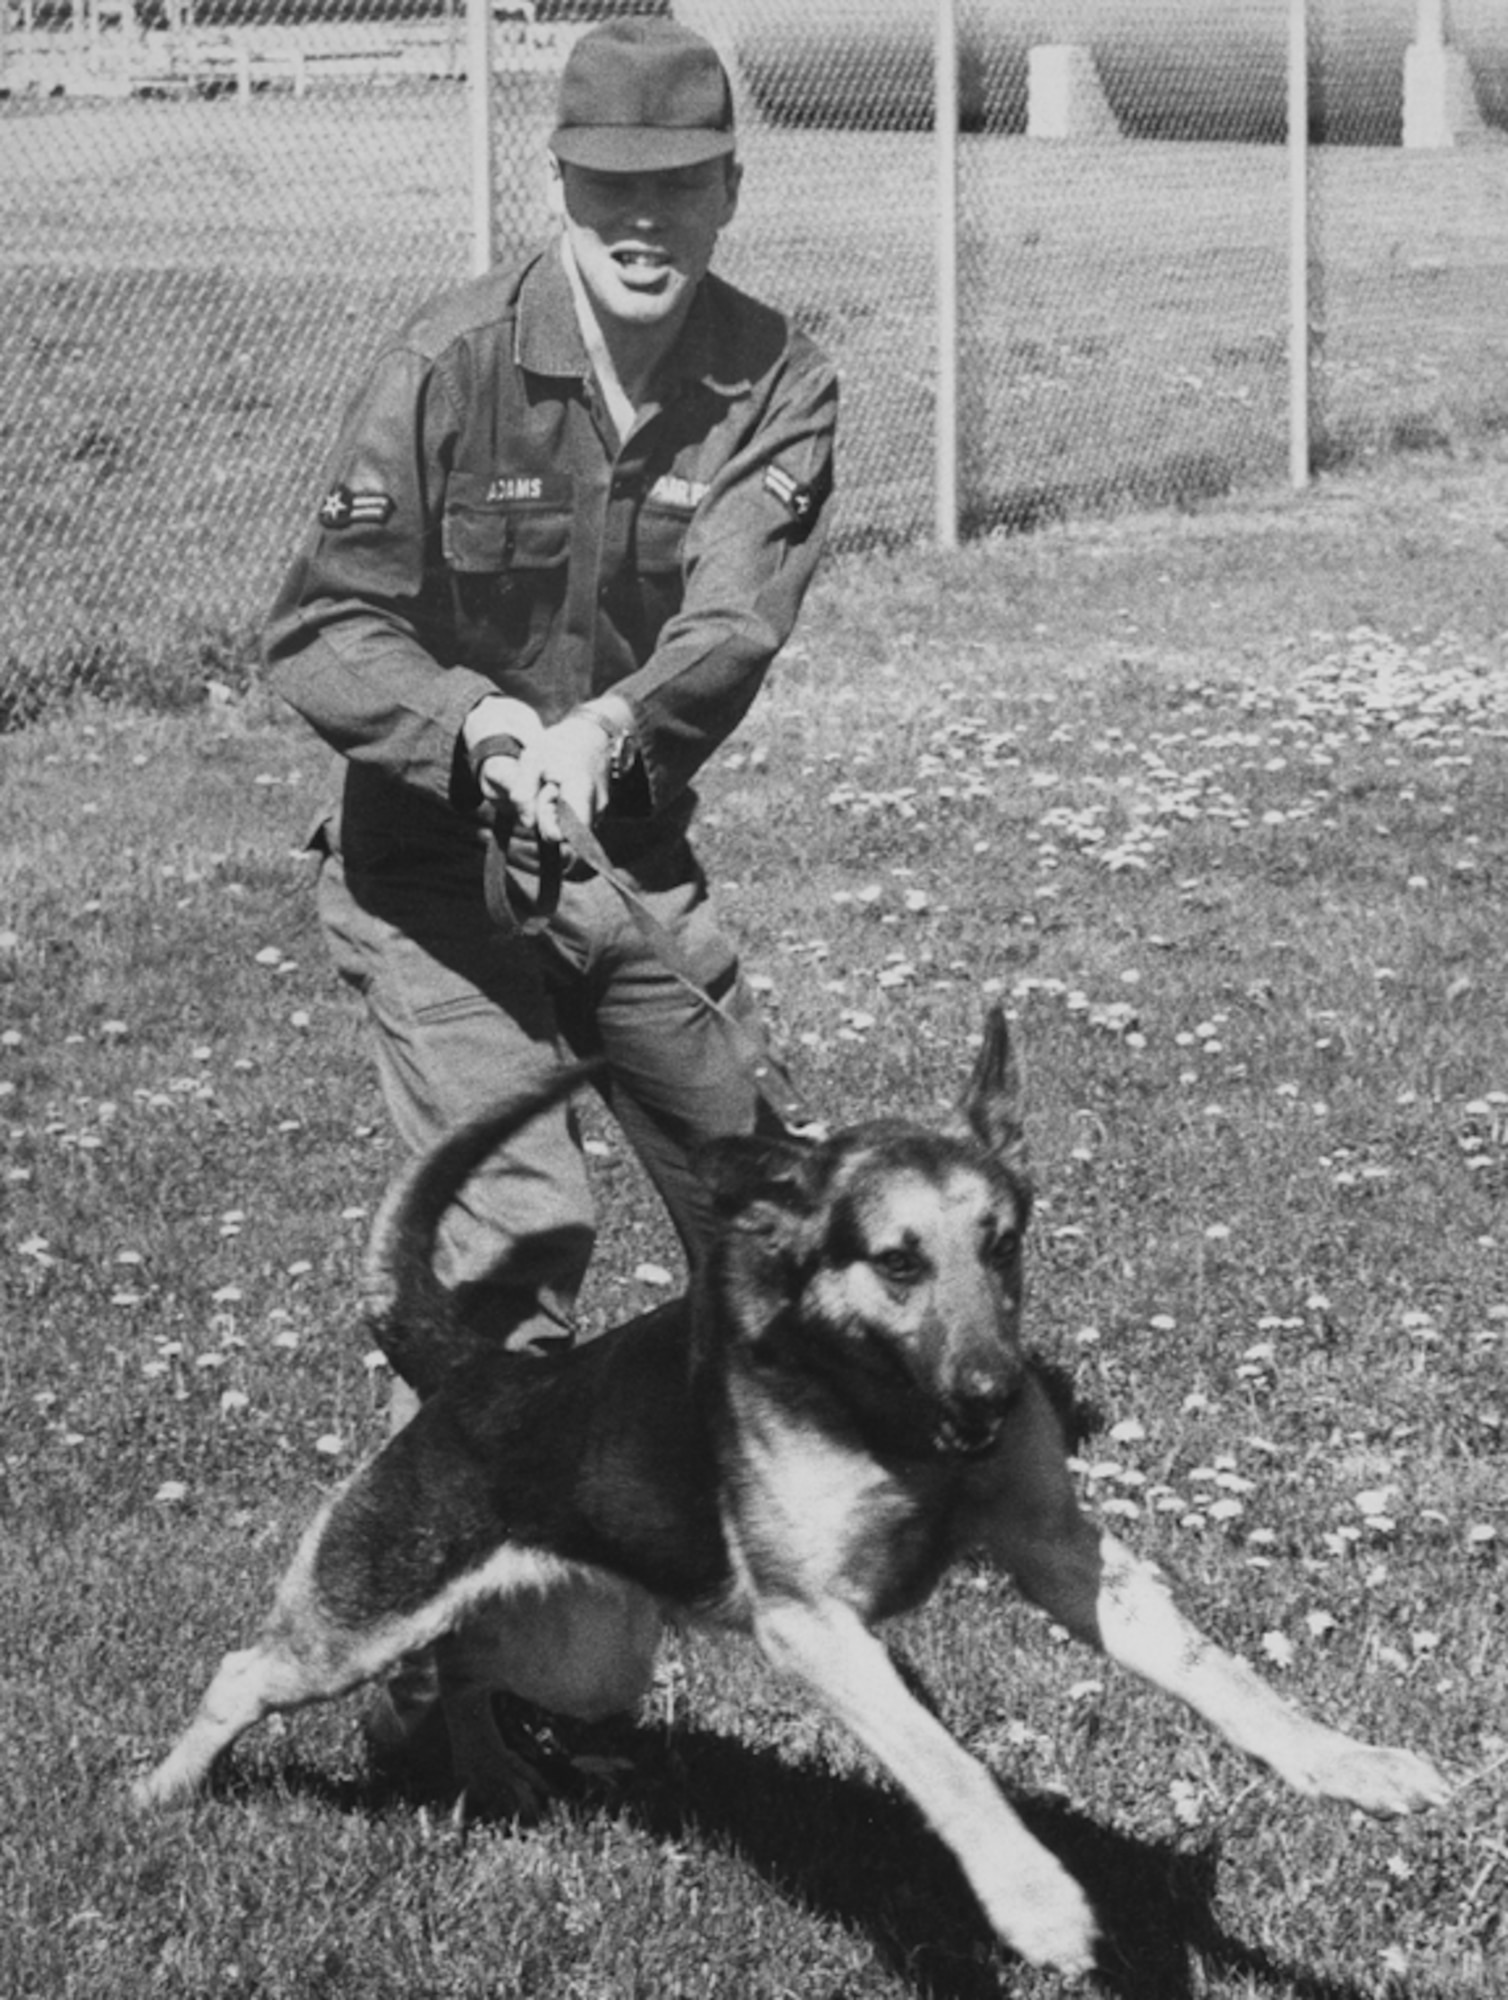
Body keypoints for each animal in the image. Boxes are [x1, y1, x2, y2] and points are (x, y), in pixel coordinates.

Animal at [135, 1008, 1440, 1976]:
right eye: (897, 1260)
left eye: (1003, 1242)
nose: (995, 1392)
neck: (890, 1415)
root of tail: (476, 1369)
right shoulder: (811, 1625)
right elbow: (945, 1760)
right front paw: (1031, 1897)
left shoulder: (1065, 1556)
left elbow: (1227, 1679)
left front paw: (1353, 1765)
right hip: (365, 1616)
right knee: (250, 1669)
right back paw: (163, 1790)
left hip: (590, 1652)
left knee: (463, 1662)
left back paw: (494, 1771)